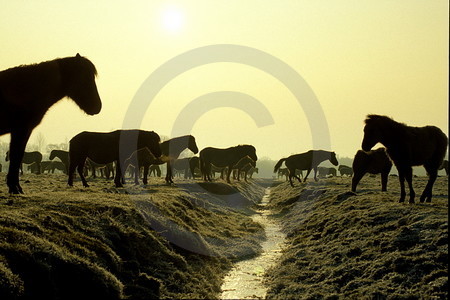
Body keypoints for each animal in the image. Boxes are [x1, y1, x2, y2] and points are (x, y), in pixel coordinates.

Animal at [0, 54, 101, 195]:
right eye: (84, 78)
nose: (97, 106)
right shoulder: (20, 130)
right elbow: (16, 157)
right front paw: (14, 188)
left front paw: (16, 187)